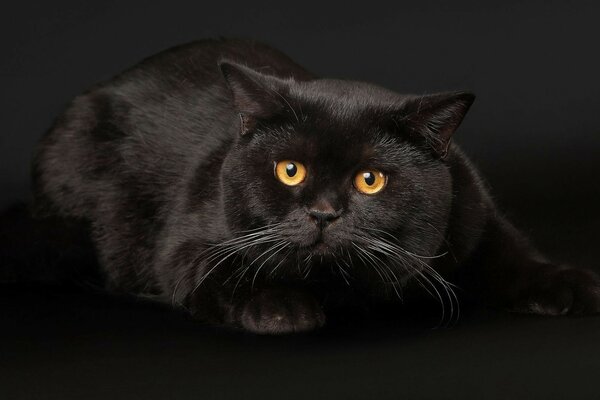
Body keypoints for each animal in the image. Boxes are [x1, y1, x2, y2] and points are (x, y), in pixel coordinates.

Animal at [31, 38, 600, 334]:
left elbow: (513, 255)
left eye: (370, 180)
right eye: (291, 170)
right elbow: (225, 268)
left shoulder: (476, 215)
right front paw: (282, 306)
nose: (324, 212)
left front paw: (572, 285)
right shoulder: (186, 246)